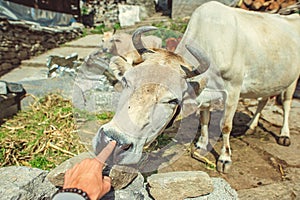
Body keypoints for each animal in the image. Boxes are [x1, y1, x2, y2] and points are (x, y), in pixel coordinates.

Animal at [176, 0, 300, 173]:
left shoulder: (233, 89)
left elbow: (225, 125)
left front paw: (225, 158)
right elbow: (204, 118)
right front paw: (201, 144)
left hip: (293, 79)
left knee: (287, 104)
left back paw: (284, 135)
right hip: (267, 78)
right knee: (263, 100)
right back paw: (250, 126)